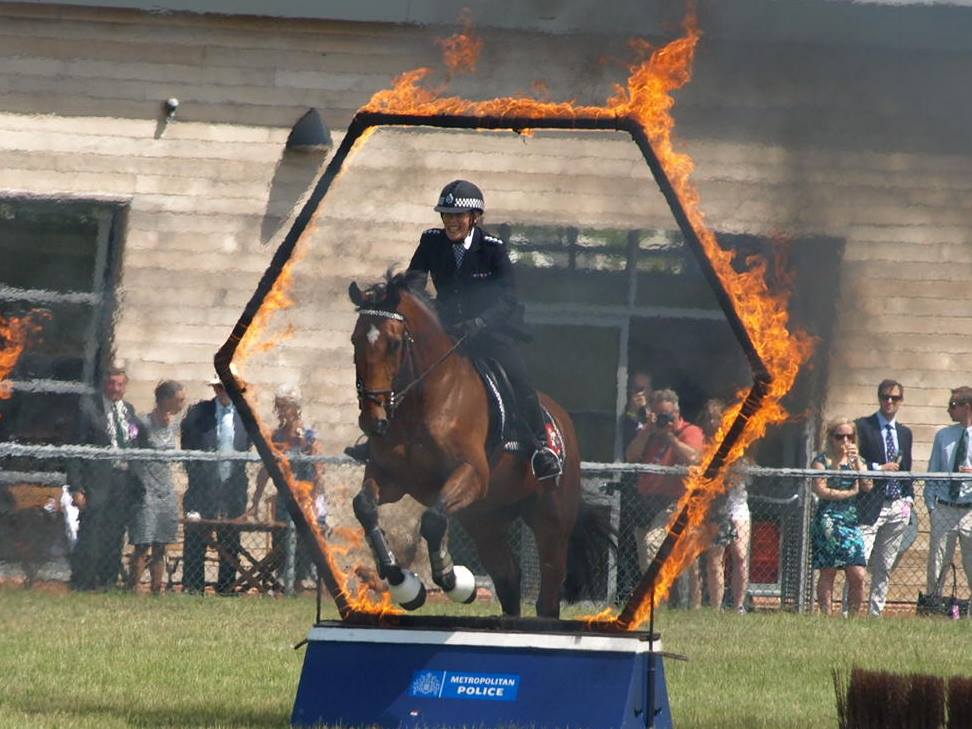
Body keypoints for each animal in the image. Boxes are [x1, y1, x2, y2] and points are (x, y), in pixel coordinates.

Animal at [350, 272, 608, 616]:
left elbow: (432, 521)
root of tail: (562, 419)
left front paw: (450, 577)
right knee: (509, 579)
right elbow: (365, 507)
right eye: (355, 340)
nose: (373, 420)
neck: (424, 401)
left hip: (551, 522)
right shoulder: (392, 477)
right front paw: (401, 580)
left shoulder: (471, 473)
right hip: (484, 520)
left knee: (548, 597)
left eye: (393, 343)